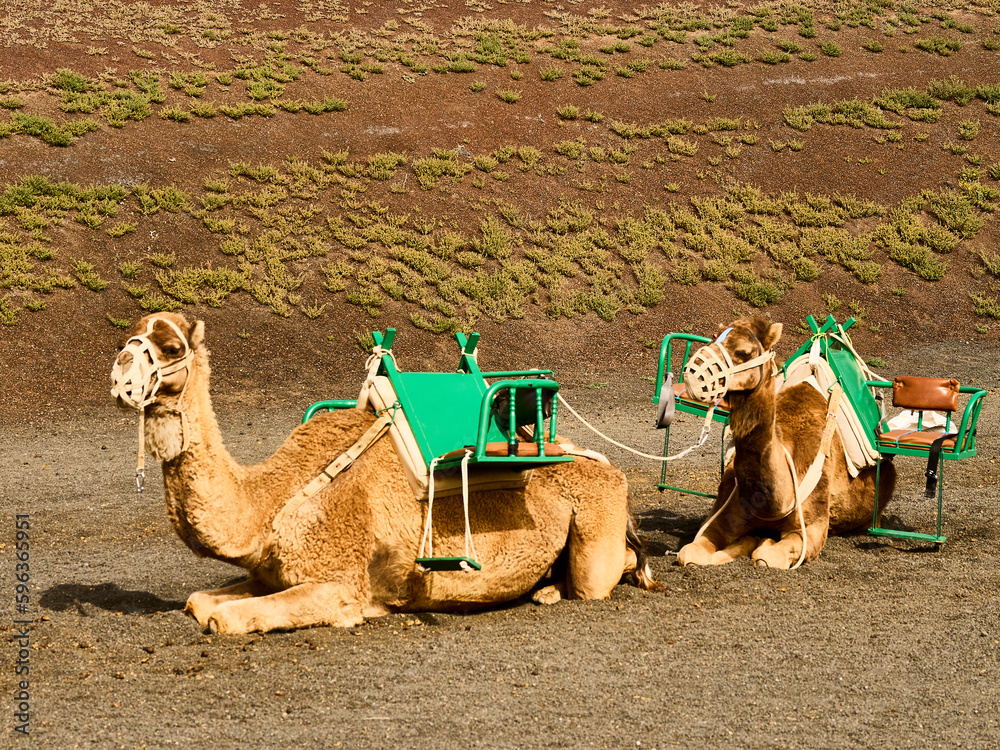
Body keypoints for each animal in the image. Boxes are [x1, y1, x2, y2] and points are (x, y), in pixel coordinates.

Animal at [110, 313, 656, 633]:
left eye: (171, 345)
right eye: (128, 336)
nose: (120, 373)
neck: (272, 500)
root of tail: (607, 465)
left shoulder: (341, 584)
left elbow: (223, 619)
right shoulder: (271, 572)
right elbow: (199, 601)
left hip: (596, 532)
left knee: (608, 573)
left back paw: (557, 589)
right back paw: (543, 587)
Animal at [676, 318, 895, 569]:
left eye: (743, 352)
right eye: (713, 337)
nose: (691, 373)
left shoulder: (811, 528)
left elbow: (766, 557)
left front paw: (761, 543)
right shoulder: (722, 514)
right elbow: (689, 553)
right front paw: (749, 540)